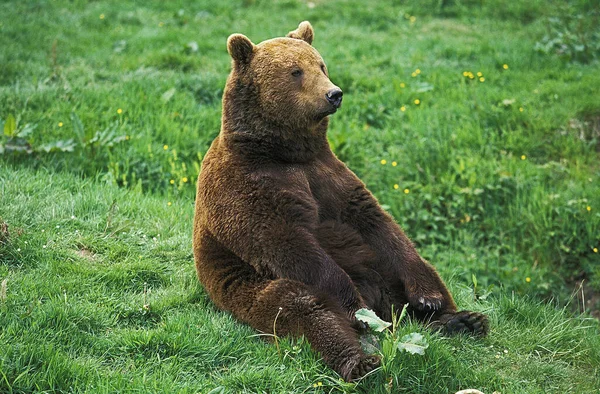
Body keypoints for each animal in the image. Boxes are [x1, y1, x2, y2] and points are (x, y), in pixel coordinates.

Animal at [192, 20, 488, 382]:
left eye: (321, 65)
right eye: (295, 71)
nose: (334, 93)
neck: (284, 151)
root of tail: (386, 307)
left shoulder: (329, 176)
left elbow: (378, 224)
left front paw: (428, 299)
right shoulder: (249, 187)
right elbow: (288, 242)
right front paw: (354, 305)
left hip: (380, 272)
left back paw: (461, 319)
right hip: (253, 288)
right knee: (305, 309)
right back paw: (361, 361)